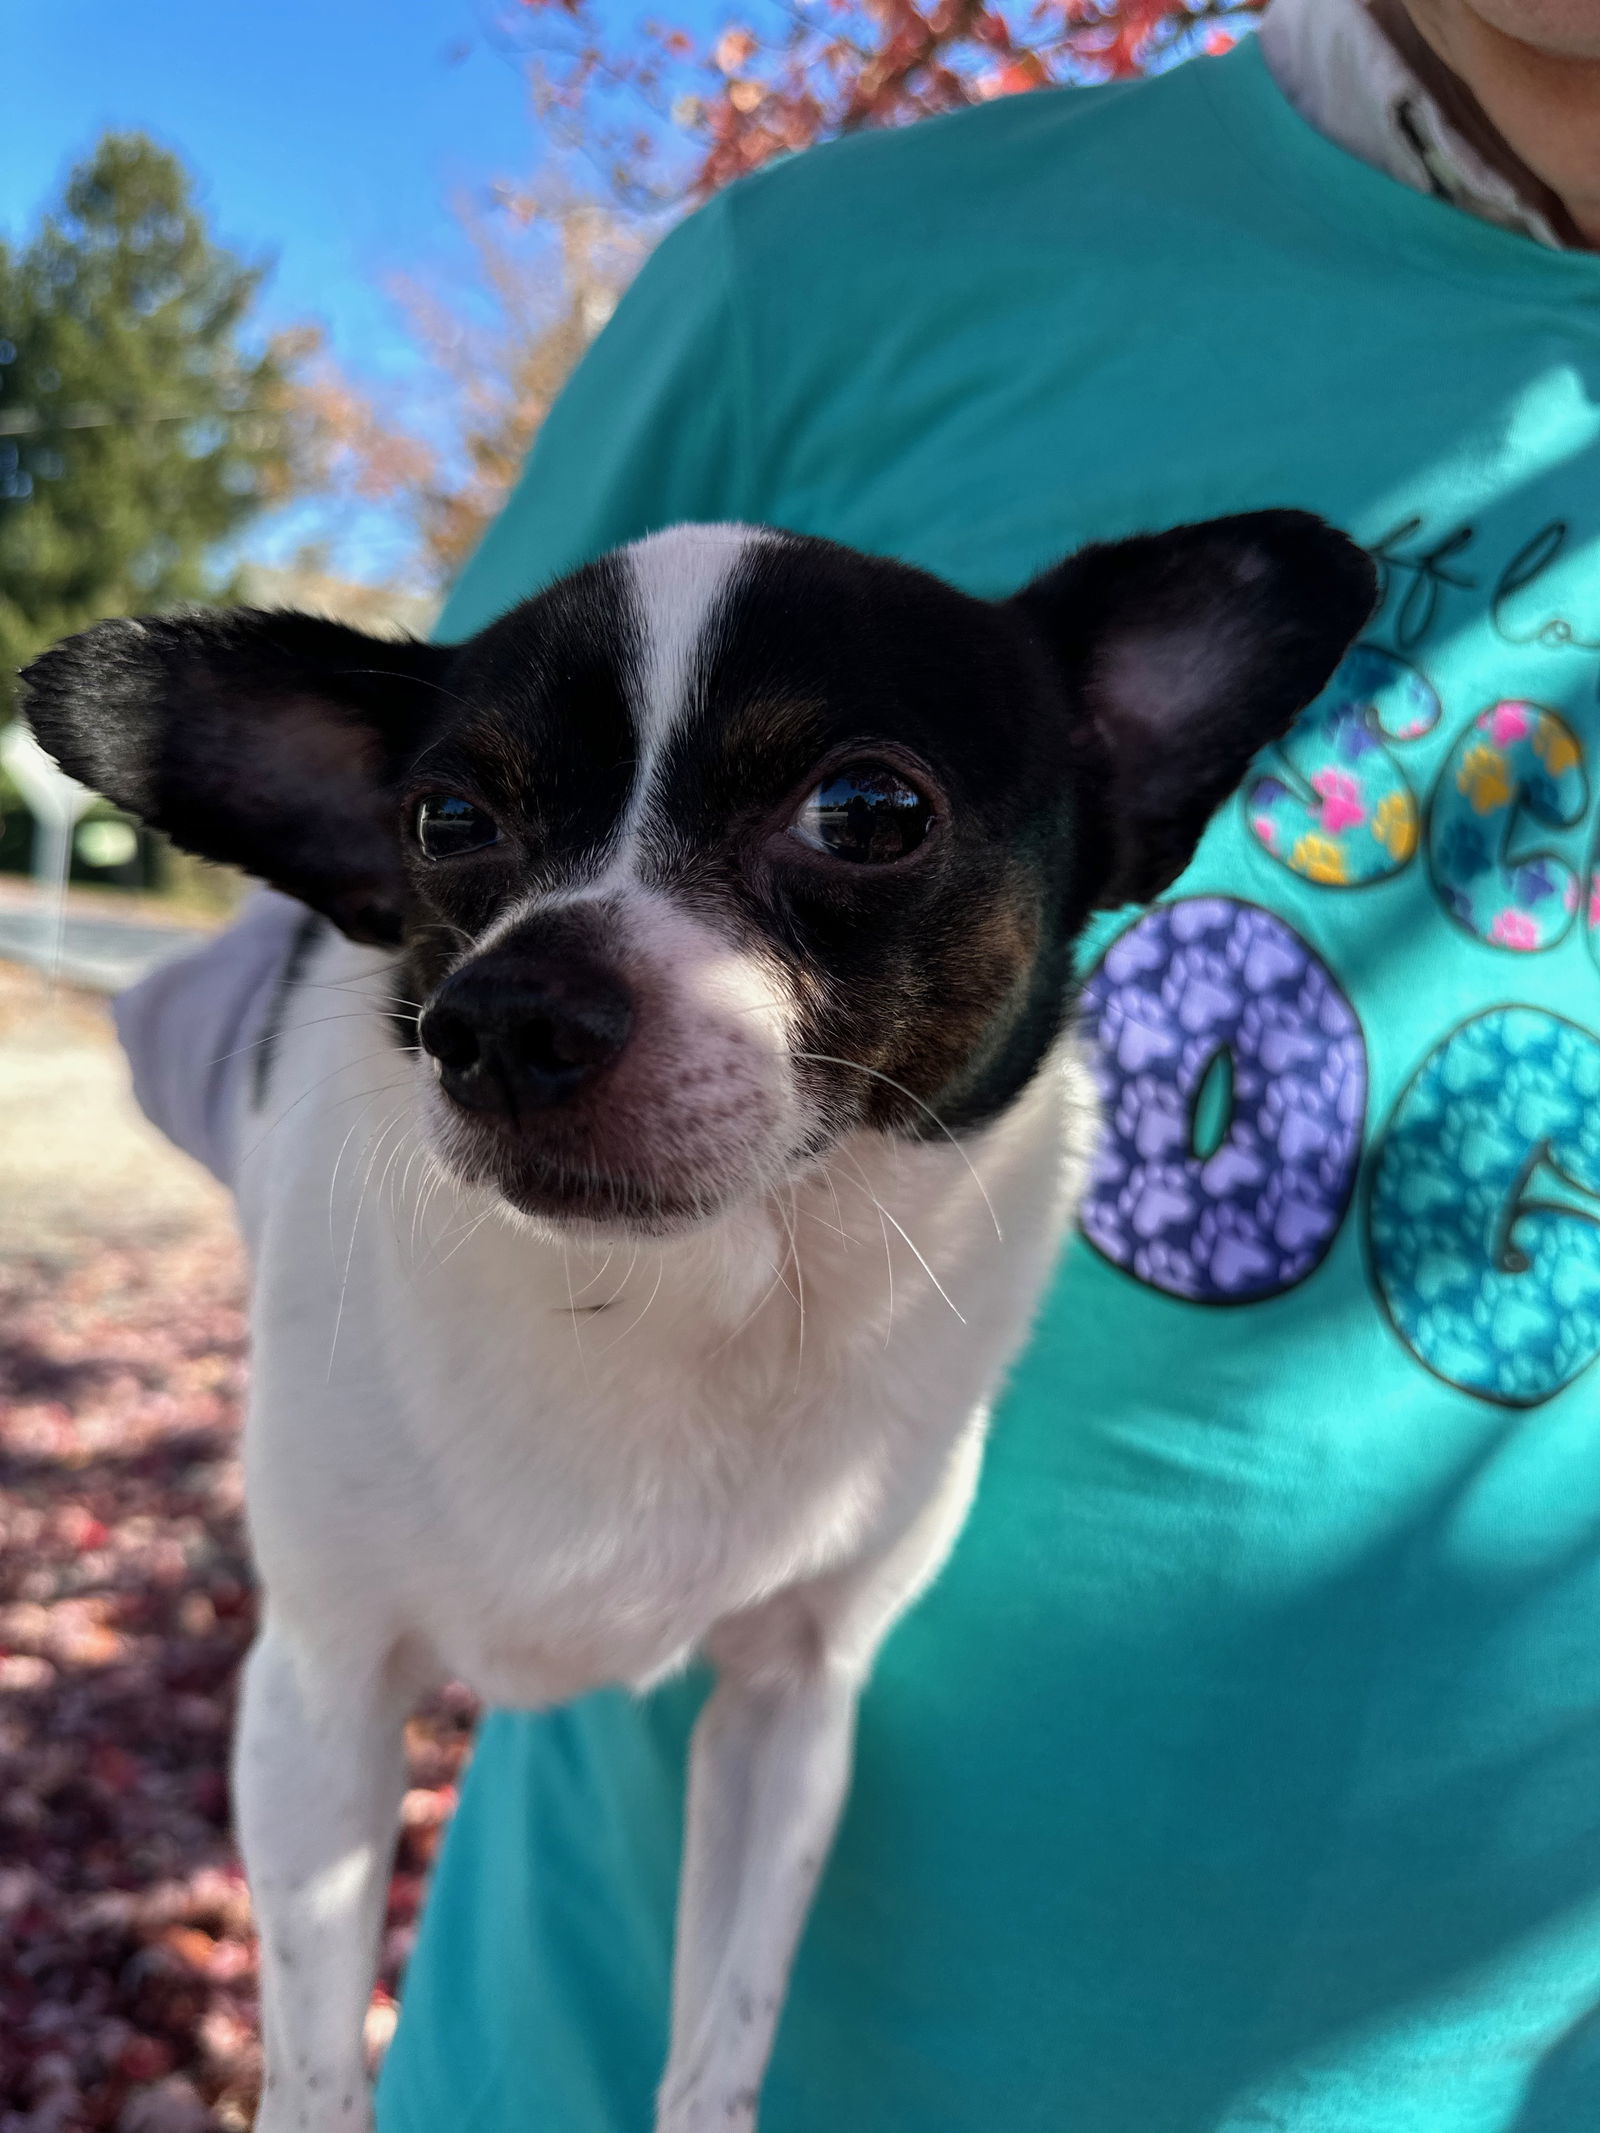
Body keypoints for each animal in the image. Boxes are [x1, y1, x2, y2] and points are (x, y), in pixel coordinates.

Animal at [21, 516, 1382, 2133]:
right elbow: (313, 2072)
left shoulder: (789, 1712)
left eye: (868, 811)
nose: (498, 1015)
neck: (677, 1295)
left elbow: (722, 2034)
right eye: (444, 820)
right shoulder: (319, 1699)